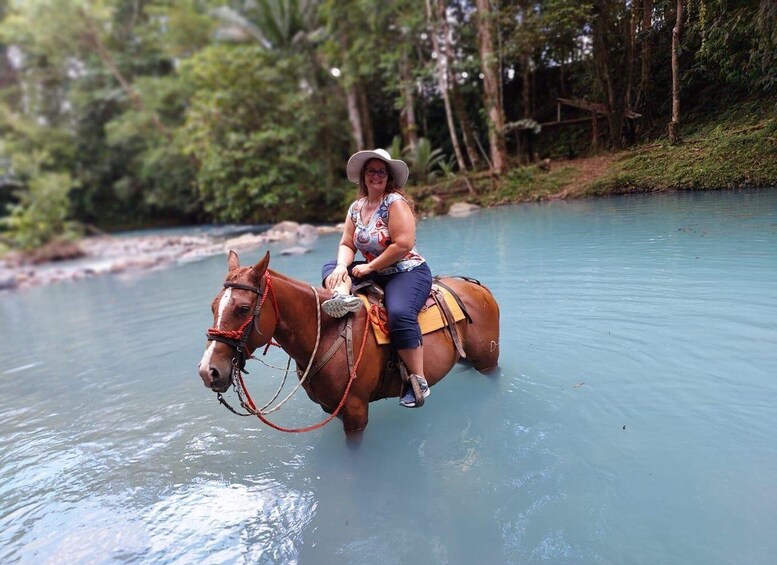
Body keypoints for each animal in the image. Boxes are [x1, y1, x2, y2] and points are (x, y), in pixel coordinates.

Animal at [197, 249, 500, 434]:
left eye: (243, 309)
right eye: (213, 307)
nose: (208, 371)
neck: (326, 334)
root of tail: (477, 286)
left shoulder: (355, 411)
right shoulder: (333, 407)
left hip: (488, 359)